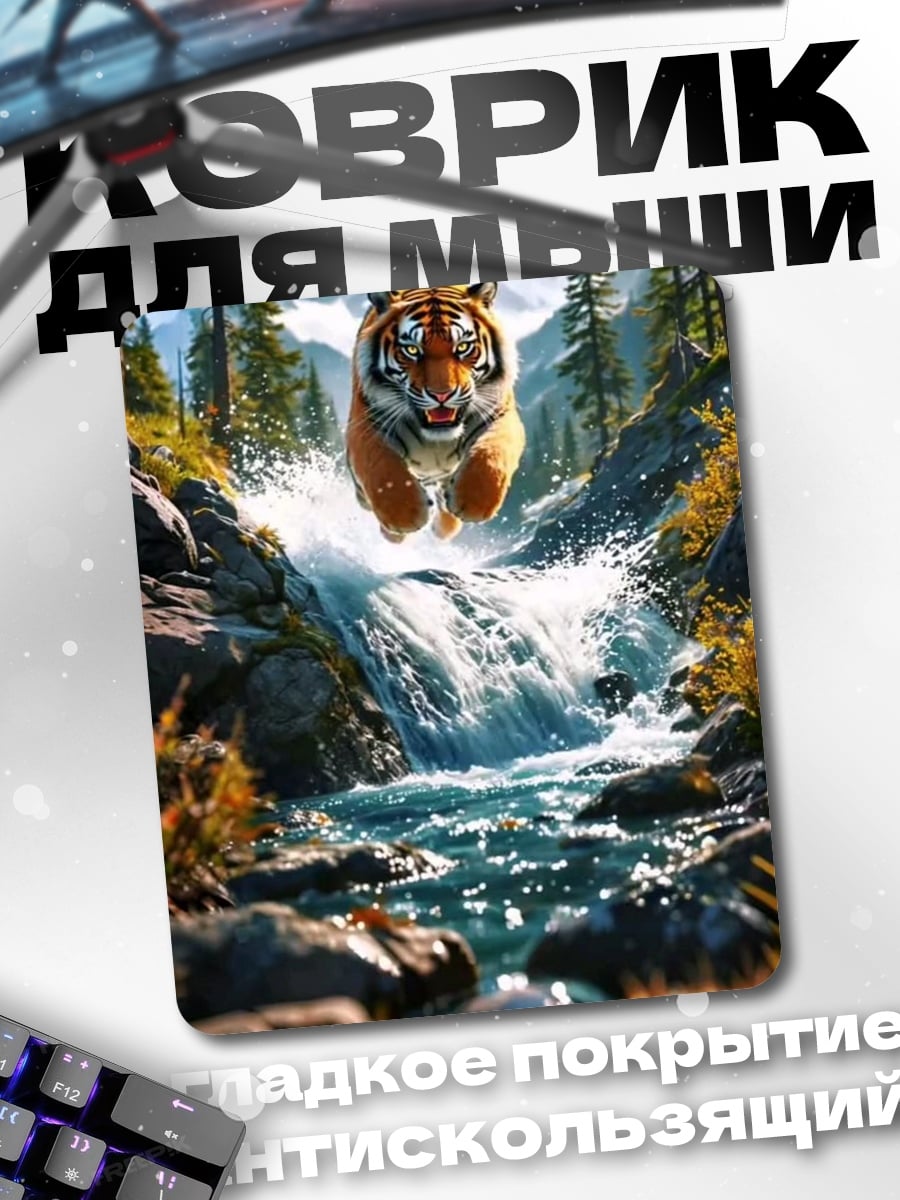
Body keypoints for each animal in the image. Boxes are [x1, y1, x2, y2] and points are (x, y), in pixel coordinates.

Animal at [346, 282, 525, 543]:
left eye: (463, 347)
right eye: (412, 350)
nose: (442, 395)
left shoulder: (499, 413)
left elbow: (491, 455)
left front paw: (473, 503)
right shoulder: (366, 423)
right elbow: (381, 467)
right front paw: (405, 516)